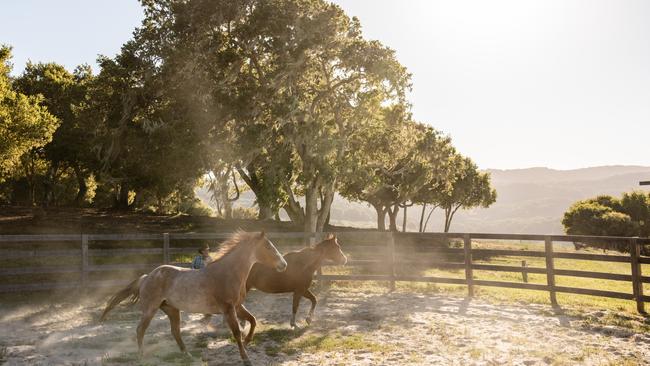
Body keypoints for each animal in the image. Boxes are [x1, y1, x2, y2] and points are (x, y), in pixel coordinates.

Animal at [100, 232, 284, 366]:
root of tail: (146, 277)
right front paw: (246, 359)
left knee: (175, 331)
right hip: (150, 309)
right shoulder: (228, 309)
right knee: (140, 330)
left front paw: (247, 341)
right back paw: (141, 356)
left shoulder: (238, 306)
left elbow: (253, 320)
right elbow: (237, 332)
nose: (284, 264)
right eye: (268, 246)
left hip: (172, 309)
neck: (227, 273)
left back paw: (187, 355)